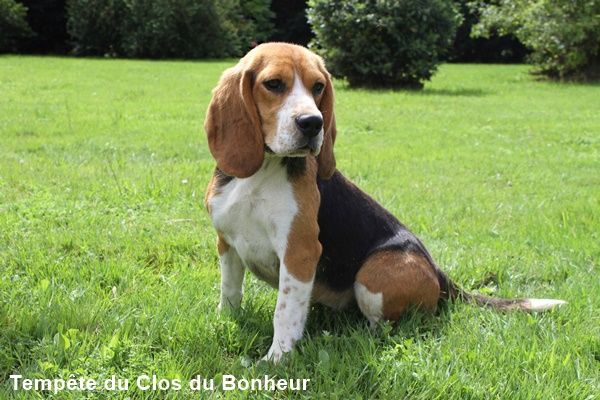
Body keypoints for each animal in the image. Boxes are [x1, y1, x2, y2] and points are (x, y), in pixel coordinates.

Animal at [204, 42, 564, 360]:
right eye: (274, 84)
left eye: (318, 87)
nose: (313, 123)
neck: (261, 173)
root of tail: (438, 272)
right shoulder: (227, 244)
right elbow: (230, 290)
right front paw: (226, 320)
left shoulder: (299, 253)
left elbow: (285, 312)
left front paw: (277, 359)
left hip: (374, 274)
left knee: (386, 326)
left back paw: (346, 338)